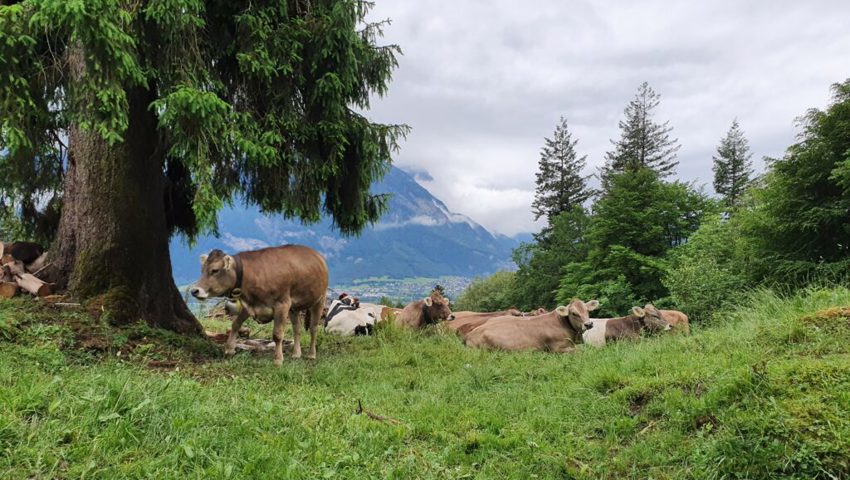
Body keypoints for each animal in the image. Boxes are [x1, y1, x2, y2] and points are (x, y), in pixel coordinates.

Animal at [192, 244, 328, 364]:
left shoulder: (282, 304)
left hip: (319, 299)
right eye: (202, 270)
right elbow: (235, 324)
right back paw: (296, 353)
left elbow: (277, 334)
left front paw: (278, 359)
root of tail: (316, 254)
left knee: (313, 328)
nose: (194, 291)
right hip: (293, 307)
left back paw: (311, 354)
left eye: (215, 270)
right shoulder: (250, 305)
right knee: (297, 328)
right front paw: (229, 349)